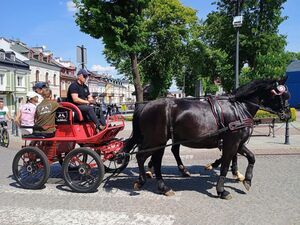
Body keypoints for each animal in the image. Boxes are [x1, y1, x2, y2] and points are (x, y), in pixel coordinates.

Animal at [124, 78, 290, 200]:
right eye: (282, 95)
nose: (288, 114)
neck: (239, 108)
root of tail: (145, 106)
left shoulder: (238, 143)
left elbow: (251, 157)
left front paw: (247, 179)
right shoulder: (231, 143)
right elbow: (225, 165)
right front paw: (221, 190)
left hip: (160, 141)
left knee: (157, 159)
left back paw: (163, 185)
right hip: (156, 140)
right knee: (142, 156)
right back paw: (143, 180)